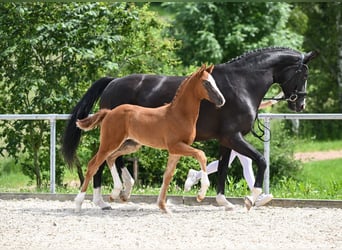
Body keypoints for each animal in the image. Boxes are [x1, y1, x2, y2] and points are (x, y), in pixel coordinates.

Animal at [62, 46, 316, 209]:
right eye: (303, 73)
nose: (300, 104)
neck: (242, 84)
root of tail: (113, 81)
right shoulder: (233, 137)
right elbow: (260, 161)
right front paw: (252, 198)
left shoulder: (227, 140)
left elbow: (222, 168)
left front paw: (223, 200)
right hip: (117, 137)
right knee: (101, 161)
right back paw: (101, 199)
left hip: (129, 139)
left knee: (112, 159)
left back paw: (121, 192)